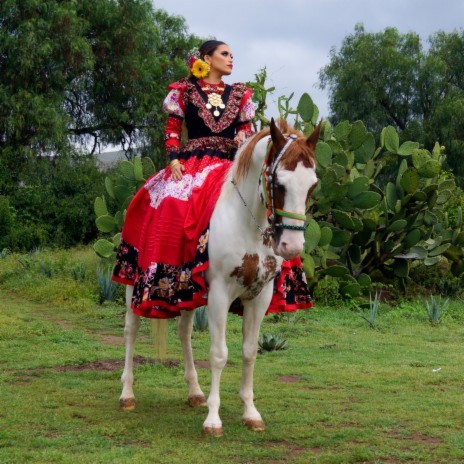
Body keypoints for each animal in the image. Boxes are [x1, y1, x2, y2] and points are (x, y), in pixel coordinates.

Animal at [119, 118, 320, 436]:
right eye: (279, 183)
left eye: (312, 184)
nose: (292, 246)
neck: (248, 223)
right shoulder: (219, 295)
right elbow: (218, 354)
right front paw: (213, 419)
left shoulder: (260, 296)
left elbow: (249, 352)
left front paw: (250, 412)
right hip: (133, 284)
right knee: (131, 330)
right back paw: (127, 394)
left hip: (187, 293)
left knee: (184, 332)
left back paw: (194, 391)